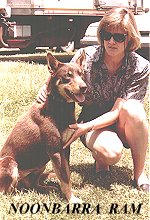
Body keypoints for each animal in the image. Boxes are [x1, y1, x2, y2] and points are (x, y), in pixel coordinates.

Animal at [0, 51, 86, 203]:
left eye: (81, 74)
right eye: (67, 76)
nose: (84, 87)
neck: (59, 107)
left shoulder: (65, 149)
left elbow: (67, 174)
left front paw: (68, 195)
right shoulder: (55, 151)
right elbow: (64, 178)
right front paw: (72, 199)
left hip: (41, 163)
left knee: (31, 184)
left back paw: (46, 188)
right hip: (10, 162)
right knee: (5, 192)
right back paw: (17, 197)